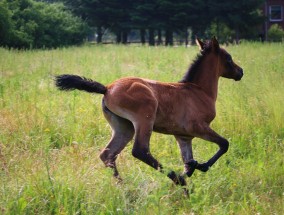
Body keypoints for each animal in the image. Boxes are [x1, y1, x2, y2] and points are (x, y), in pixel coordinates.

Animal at [55, 37, 242, 191]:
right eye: (229, 58)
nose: (241, 72)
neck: (199, 91)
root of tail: (107, 88)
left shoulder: (183, 136)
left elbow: (188, 163)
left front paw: (190, 173)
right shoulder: (197, 127)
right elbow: (224, 144)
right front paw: (200, 167)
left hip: (124, 127)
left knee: (108, 155)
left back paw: (124, 188)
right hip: (145, 119)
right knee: (140, 150)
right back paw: (174, 179)